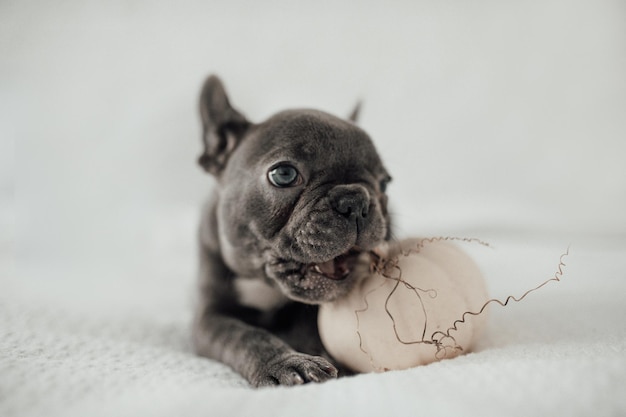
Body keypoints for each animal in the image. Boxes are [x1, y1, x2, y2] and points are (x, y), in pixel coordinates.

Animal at [193, 75, 392, 386]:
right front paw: (285, 363)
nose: (356, 201)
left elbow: (305, 324)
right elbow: (243, 336)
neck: (262, 284)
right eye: (284, 174)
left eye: (385, 183)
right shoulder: (208, 318)